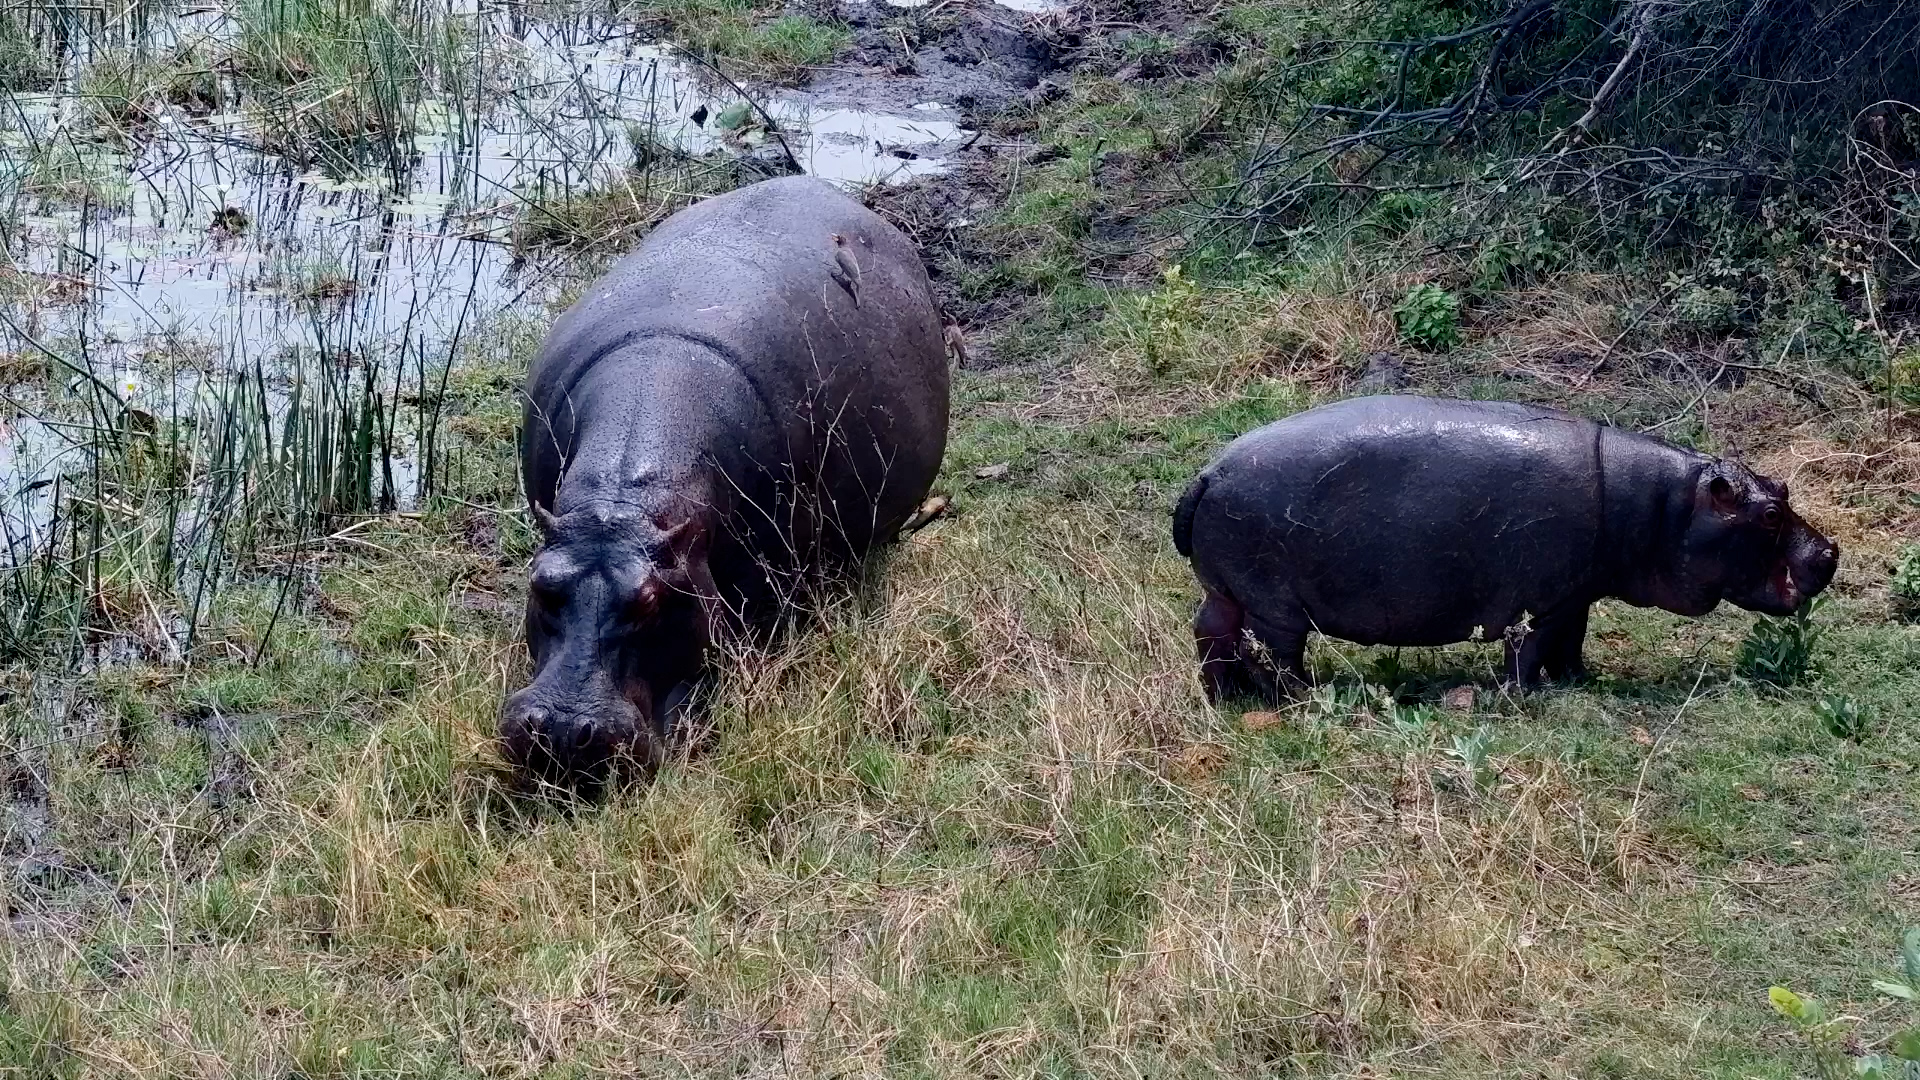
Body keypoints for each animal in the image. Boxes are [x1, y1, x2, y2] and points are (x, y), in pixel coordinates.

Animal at [1172, 396, 1840, 698]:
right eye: (1771, 512)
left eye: (1783, 486)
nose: (1831, 551)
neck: (1660, 505)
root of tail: (1207, 473)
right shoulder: (1540, 601)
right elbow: (1532, 647)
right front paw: (1522, 694)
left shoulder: (1575, 593)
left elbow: (1572, 639)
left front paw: (1577, 681)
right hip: (1274, 599)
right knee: (1276, 652)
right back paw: (1306, 696)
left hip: (1227, 587)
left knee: (1212, 632)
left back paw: (1224, 694)